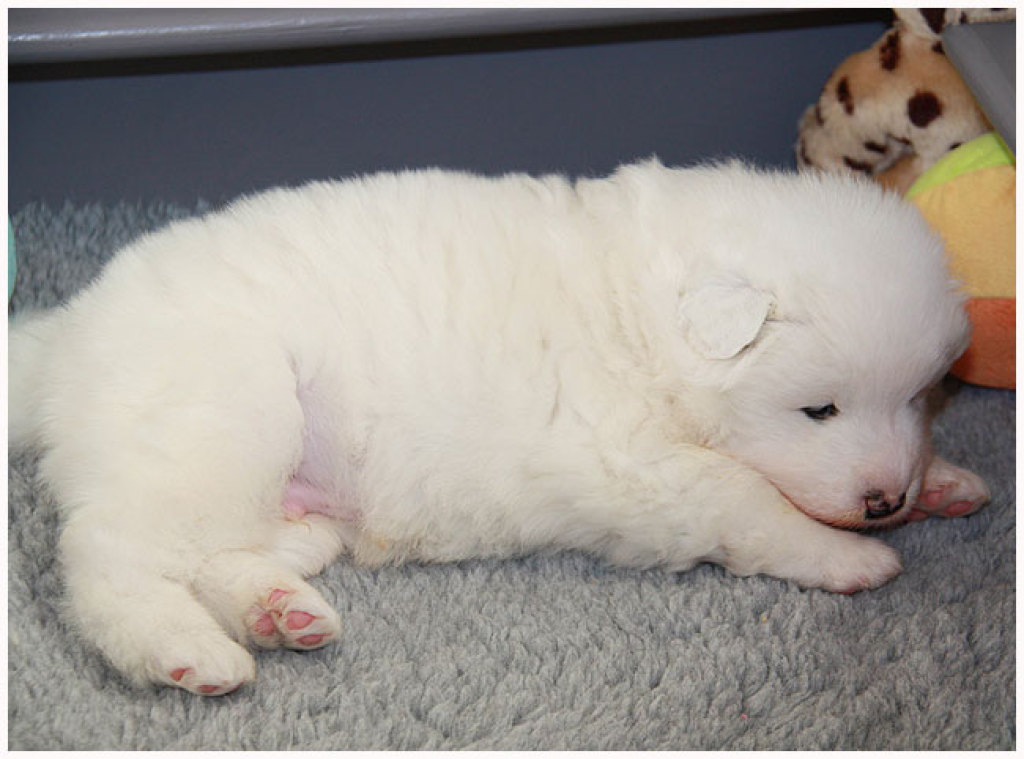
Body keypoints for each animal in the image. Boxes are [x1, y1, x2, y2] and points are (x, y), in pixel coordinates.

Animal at [9, 159, 989, 695]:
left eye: (920, 395)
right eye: (818, 407)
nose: (883, 499)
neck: (643, 322)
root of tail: (69, 332)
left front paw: (942, 484)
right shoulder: (640, 466)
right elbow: (747, 500)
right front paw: (849, 556)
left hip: (244, 472)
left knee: (217, 550)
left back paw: (280, 605)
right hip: (223, 417)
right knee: (110, 557)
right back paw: (185, 649)